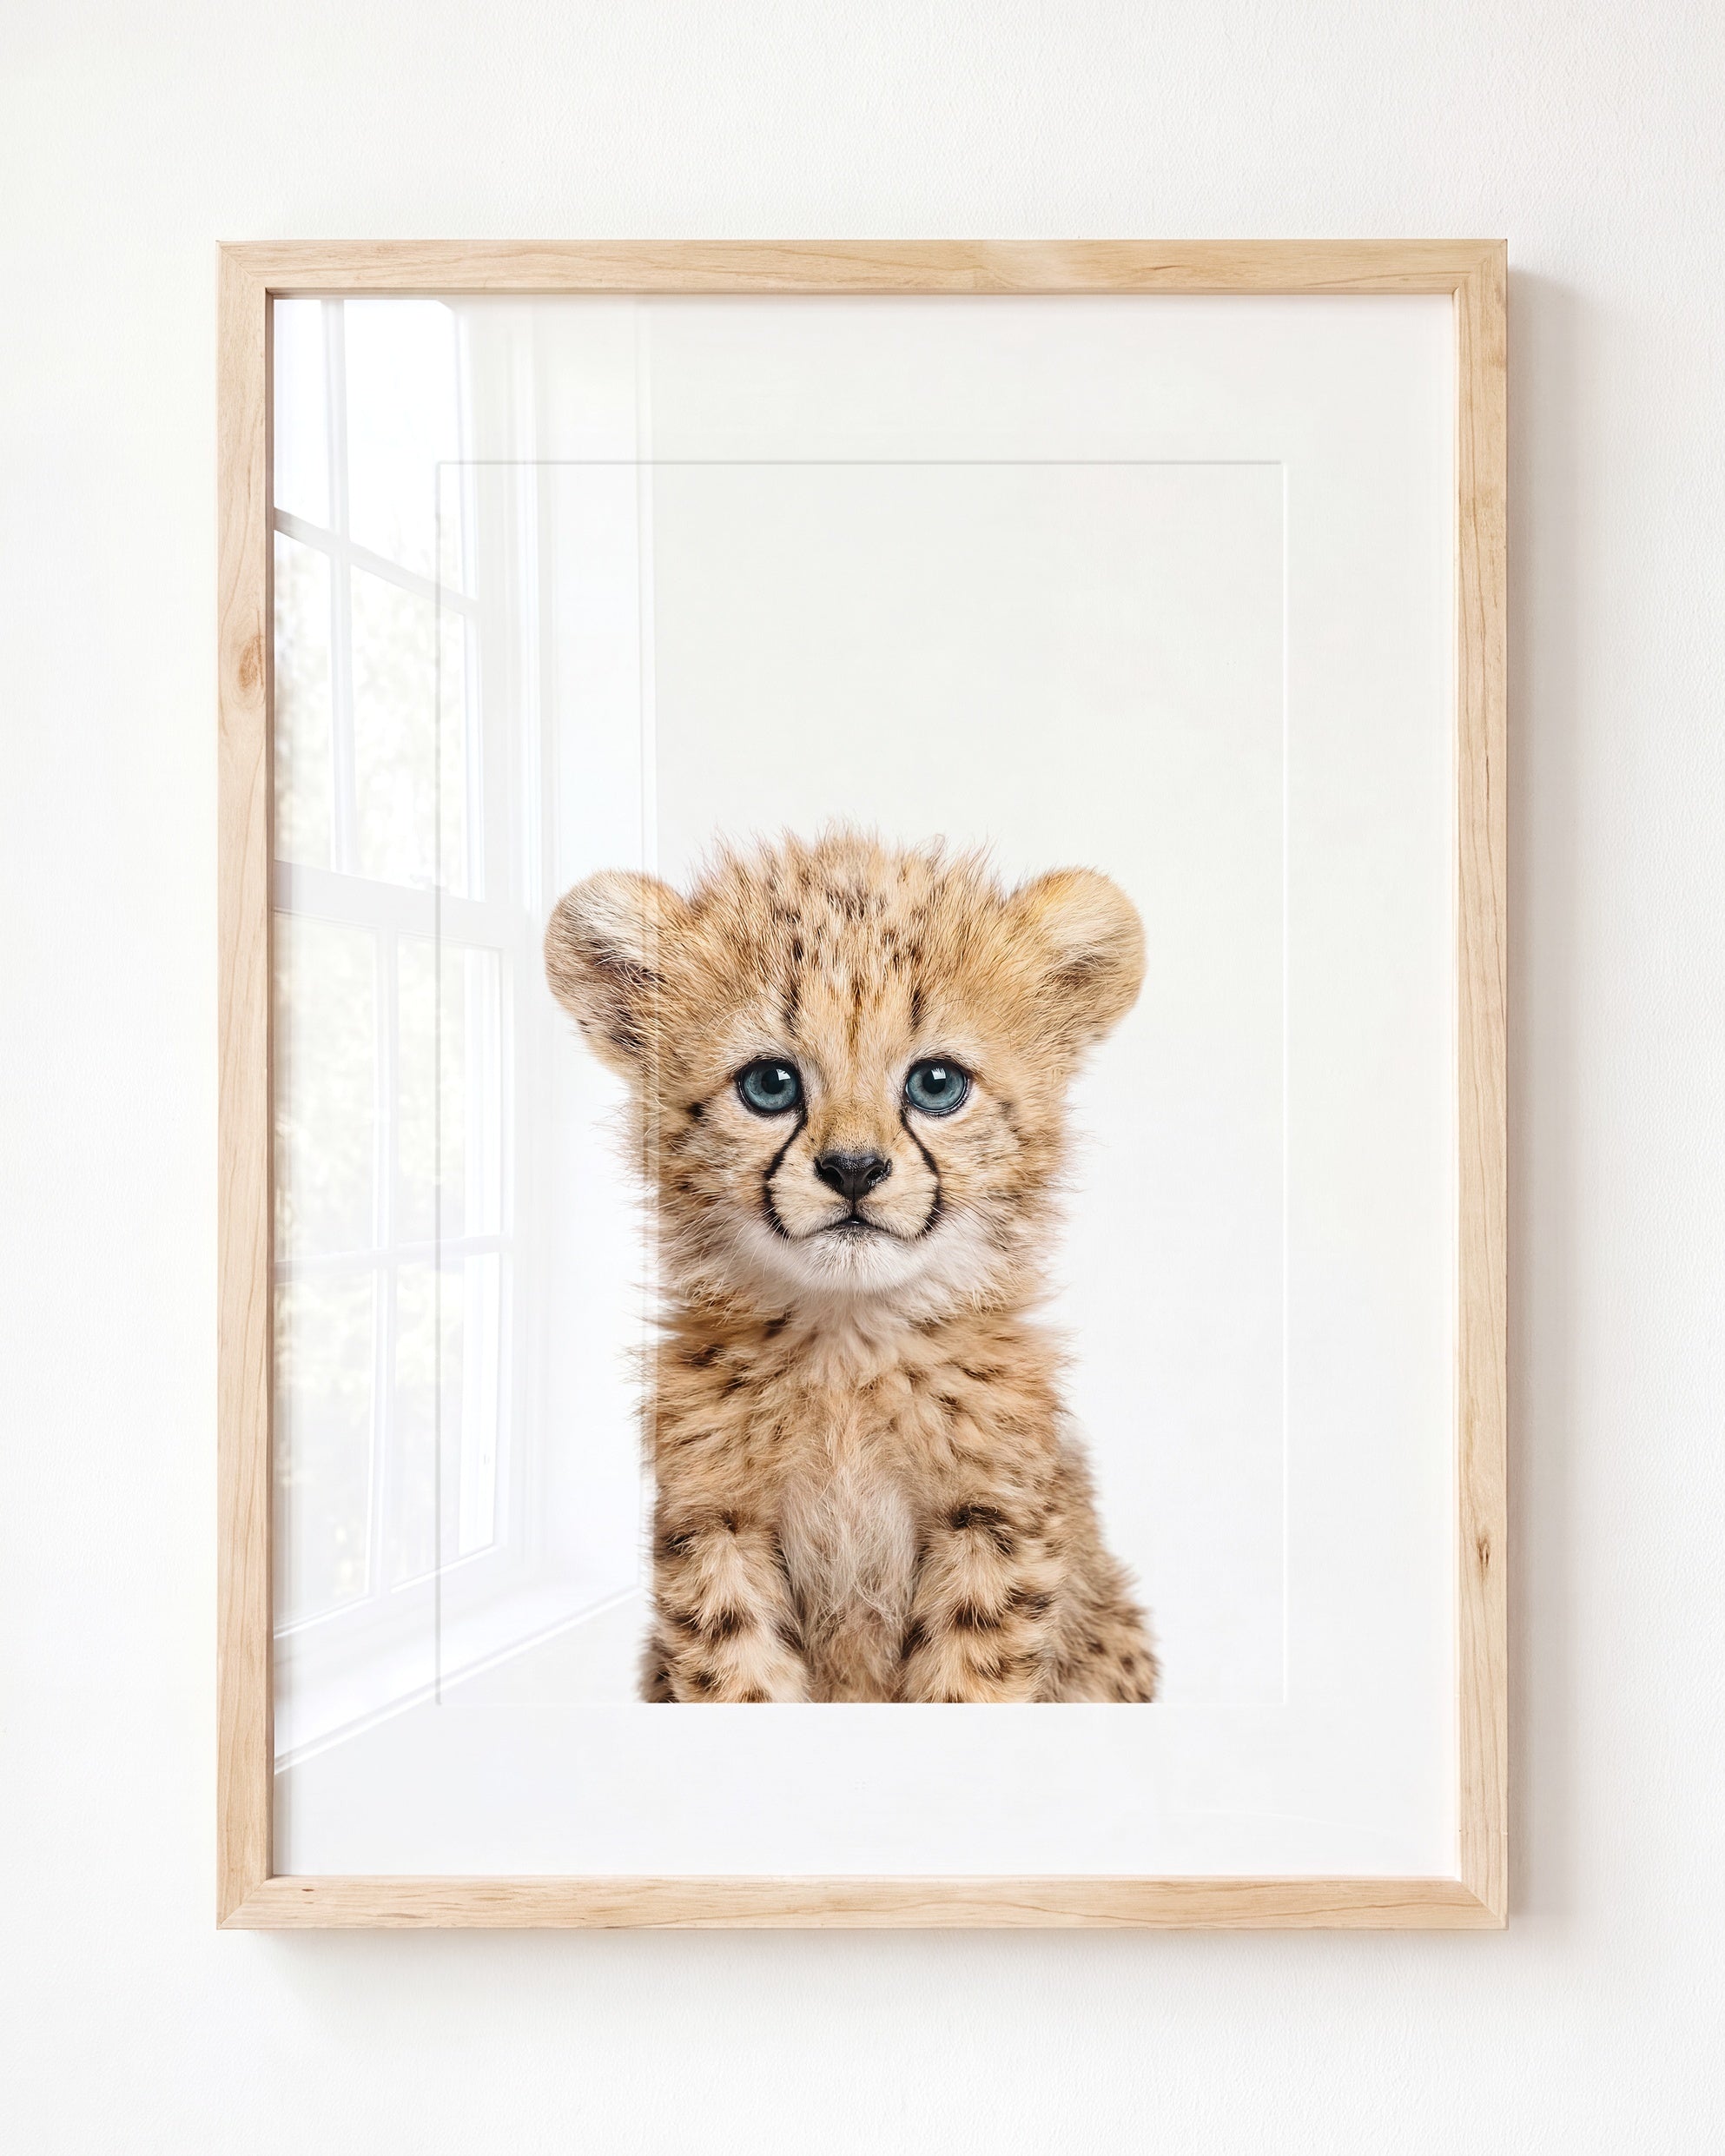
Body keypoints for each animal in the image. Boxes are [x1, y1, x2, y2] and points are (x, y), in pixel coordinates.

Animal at [544, 828, 1159, 1703]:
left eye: (936, 1084)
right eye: (770, 1085)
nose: (855, 1169)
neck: (848, 1345)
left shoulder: (993, 1524)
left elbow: (968, 1680)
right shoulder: (716, 1525)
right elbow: (739, 1676)